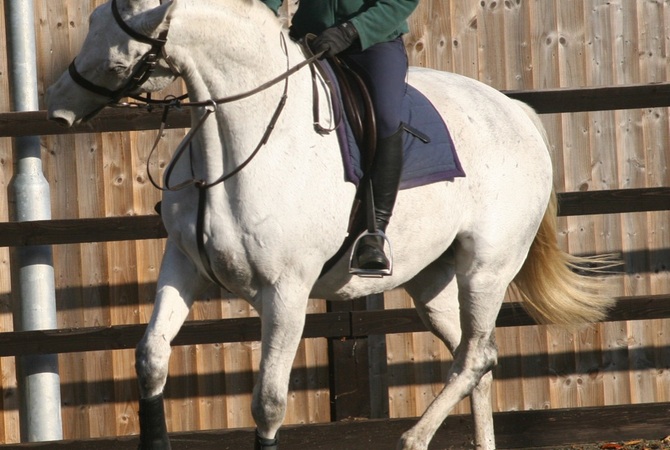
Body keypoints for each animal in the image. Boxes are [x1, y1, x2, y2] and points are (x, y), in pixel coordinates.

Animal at [46, 0, 616, 450]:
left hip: (486, 270)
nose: (56, 107)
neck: (242, 142)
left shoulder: (286, 292)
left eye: (116, 51)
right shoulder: (182, 266)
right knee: (479, 358)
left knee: (475, 355)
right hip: (431, 284)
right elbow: (150, 359)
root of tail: (516, 111)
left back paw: (412, 438)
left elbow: (269, 403)